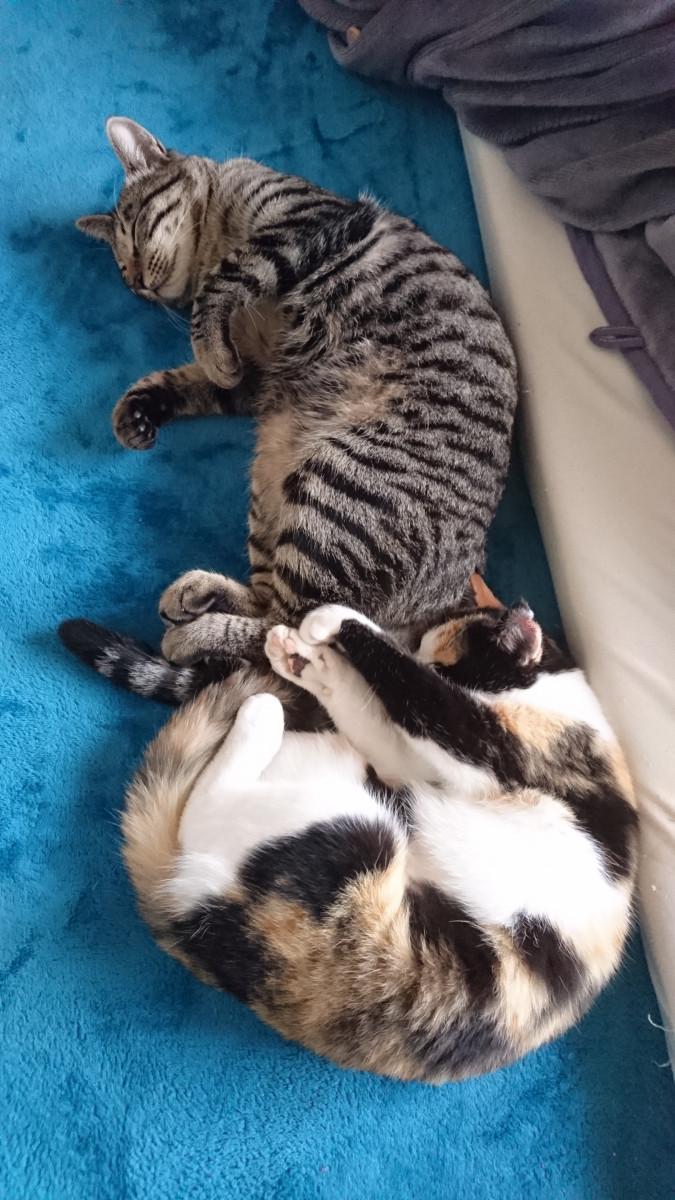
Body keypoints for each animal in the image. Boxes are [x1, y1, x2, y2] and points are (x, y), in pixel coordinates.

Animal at [75, 116, 518, 670]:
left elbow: (219, 290)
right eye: (120, 272)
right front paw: (138, 411)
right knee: (275, 608)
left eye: (134, 229)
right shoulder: (257, 374)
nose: (135, 282)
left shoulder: (307, 226)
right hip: (273, 486)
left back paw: (191, 635)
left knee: (292, 633)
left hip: (333, 488)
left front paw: (206, 343)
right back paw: (195, 595)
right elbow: (189, 381)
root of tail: (455, 591)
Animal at [109, 589, 637, 1083]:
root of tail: (184, 916)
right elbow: (376, 717)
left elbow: (413, 691)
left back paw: (262, 713)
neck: (554, 696)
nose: (421, 656)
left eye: (440, 665)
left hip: (362, 833)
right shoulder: (408, 762)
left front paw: (330, 621)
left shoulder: (494, 746)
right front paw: (307, 661)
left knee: (208, 806)